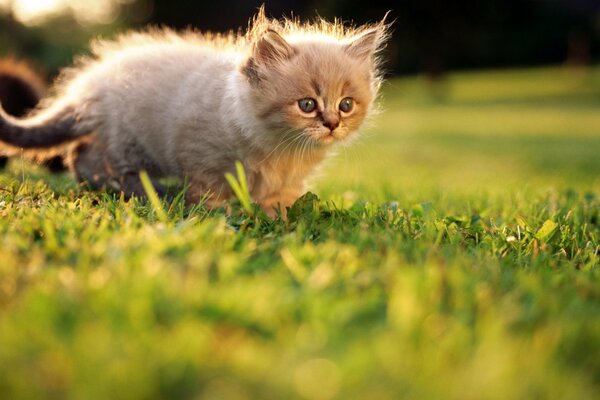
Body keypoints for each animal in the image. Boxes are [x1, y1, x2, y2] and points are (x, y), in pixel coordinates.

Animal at [0, 8, 390, 216]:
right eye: (307, 105)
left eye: (346, 105)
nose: (332, 124)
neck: (281, 148)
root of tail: (88, 87)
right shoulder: (198, 153)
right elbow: (209, 194)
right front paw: (221, 215)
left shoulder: (286, 178)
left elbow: (281, 199)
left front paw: (279, 215)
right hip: (128, 142)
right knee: (85, 161)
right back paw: (147, 191)